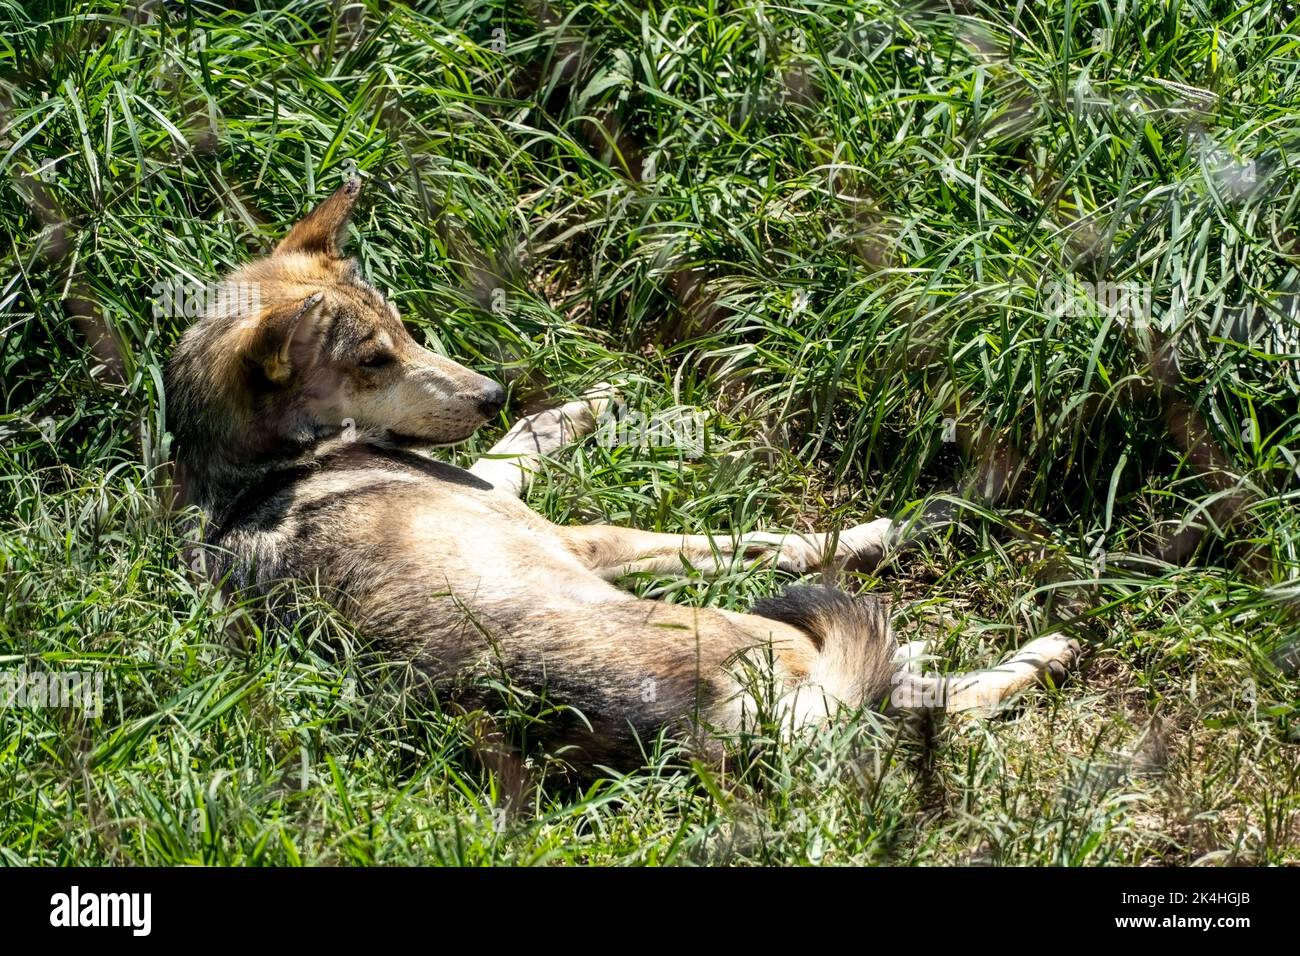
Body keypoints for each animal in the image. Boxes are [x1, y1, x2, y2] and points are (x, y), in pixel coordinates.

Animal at [165, 177, 1079, 769]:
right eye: (374, 360)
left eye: (405, 329)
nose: (490, 392)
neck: (259, 469)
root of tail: (708, 731)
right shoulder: (582, 538)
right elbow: (779, 541)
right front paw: (913, 520)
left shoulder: (507, 485)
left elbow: (527, 441)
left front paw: (590, 402)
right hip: (771, 638)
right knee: (932, 699)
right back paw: (1041, 650)